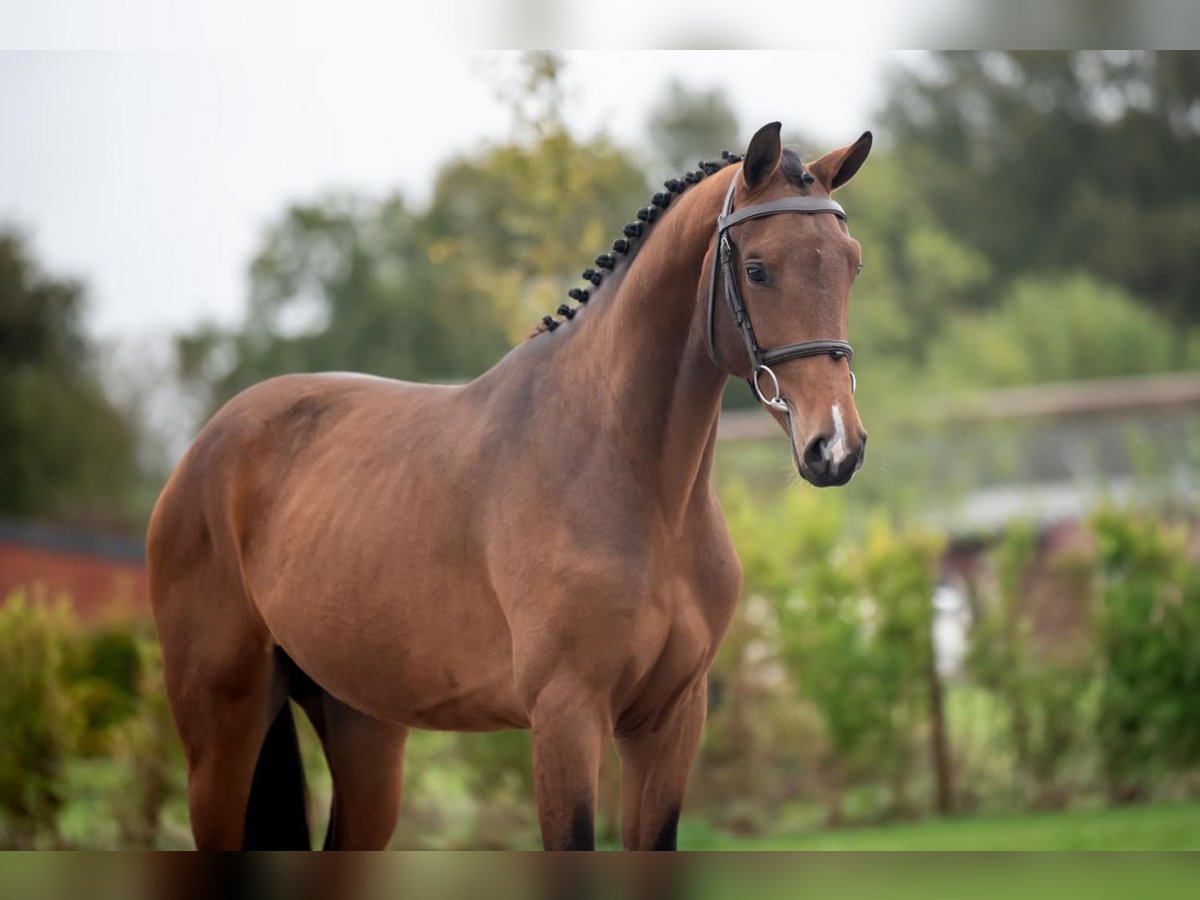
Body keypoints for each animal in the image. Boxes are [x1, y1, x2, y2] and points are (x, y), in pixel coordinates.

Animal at [147, 121, 873, 854]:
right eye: (758, 269)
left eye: (852, 263)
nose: (835, 446)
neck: (637, 486)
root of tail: (202, 451)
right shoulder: (567, 715)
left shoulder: (670, 721)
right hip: (221, 735)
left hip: (362, 727)